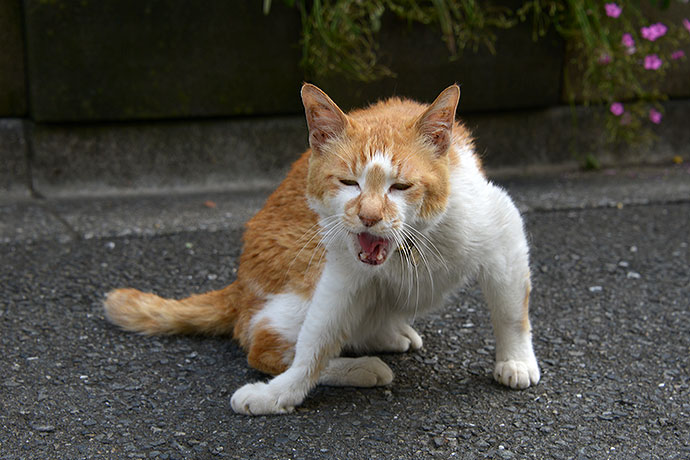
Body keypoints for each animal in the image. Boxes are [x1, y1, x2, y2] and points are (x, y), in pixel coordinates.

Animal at [105, 83, 540, 416]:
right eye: (349, 182)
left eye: (400, 186)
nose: (368, 216)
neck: (414, 242)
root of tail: (238, 285)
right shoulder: (342, 276)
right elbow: (313, 346)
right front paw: (278, 394)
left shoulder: (503, 233)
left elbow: (511, 312)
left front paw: (515, 361)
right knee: (264, 345)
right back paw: (364, 367)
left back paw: (388, 334)